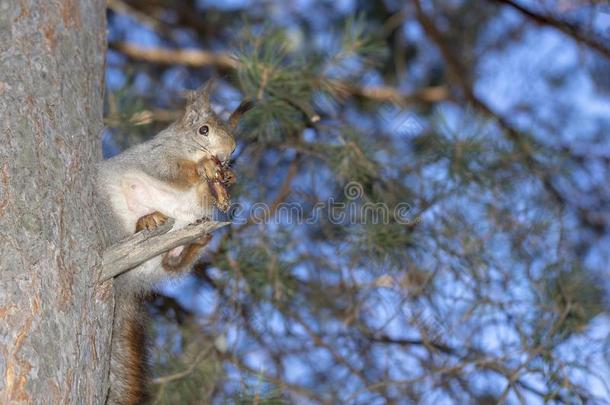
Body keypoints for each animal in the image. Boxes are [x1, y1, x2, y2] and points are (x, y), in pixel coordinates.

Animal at [95, 82, 247, 404]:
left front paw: (229, 176)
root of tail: (126, 283)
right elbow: (175, 171)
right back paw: (146, 221)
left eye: (233, 137)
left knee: (171, 264)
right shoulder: (158, 157)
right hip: (116, 214)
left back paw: (195, 244)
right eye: (204, 130)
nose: (227, 153)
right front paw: (203, 169)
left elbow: (206, 194)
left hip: (167, 253)